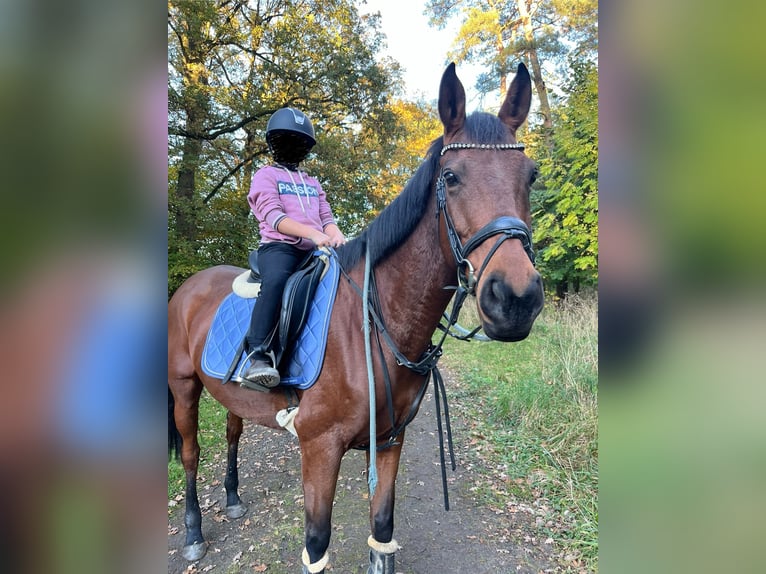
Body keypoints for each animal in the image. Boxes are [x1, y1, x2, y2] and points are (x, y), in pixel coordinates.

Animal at [168, 63, 544, 574]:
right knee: (190, 455)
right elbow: (317, 544)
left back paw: (232, 498)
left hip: (227, 394)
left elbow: (382, 529)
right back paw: (193, 533)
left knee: (231, 434)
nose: (516, 298)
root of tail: (190, 285)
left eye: (531, 176)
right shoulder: (319, 448)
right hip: (184, 387)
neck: (372, 327)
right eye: (451, 176)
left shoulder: (389, 441)